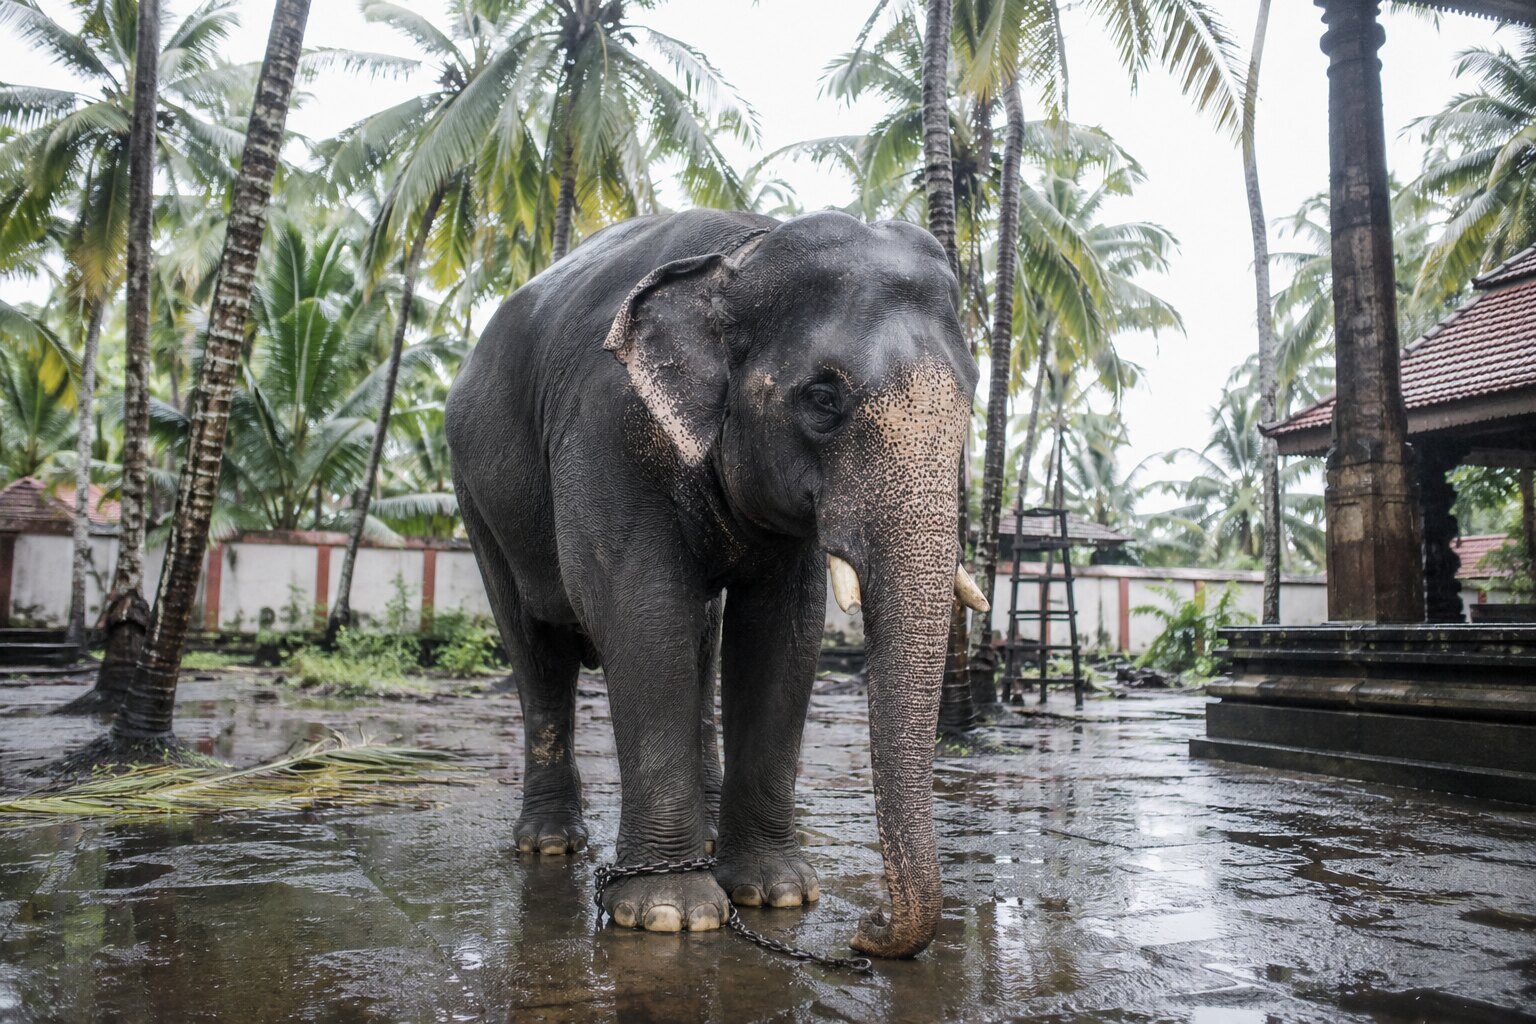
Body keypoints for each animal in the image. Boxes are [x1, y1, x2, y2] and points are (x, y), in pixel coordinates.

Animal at [445, 208, 983, 959]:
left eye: (971, 398)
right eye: (822, 398)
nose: (868, 930)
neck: (739, 259)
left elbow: (782, 634)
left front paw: (777, 894)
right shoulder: (607, 430)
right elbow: (642, 612)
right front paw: (671, 915)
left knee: (699, 637)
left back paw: (698, 838)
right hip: (477, 497)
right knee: (537, 647)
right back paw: (551, 845)